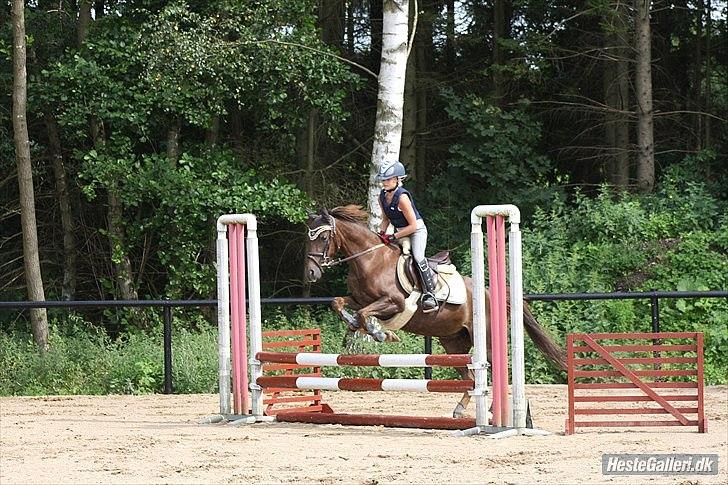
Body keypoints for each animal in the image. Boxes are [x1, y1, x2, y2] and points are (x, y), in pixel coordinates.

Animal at [304, 204, 566, 418]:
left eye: (324, 237)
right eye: (308, 238)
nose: (312, 273)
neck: (370, 259)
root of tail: (489, 291)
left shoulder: (394, 302)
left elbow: (365, 314)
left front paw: (380, 333)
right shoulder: (359, 300)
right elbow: (339, 303)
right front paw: (355, 327)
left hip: (487, 342)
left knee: (497, 371)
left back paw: (493, 412)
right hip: (453, 345)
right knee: (470, 378)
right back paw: (459, 409)